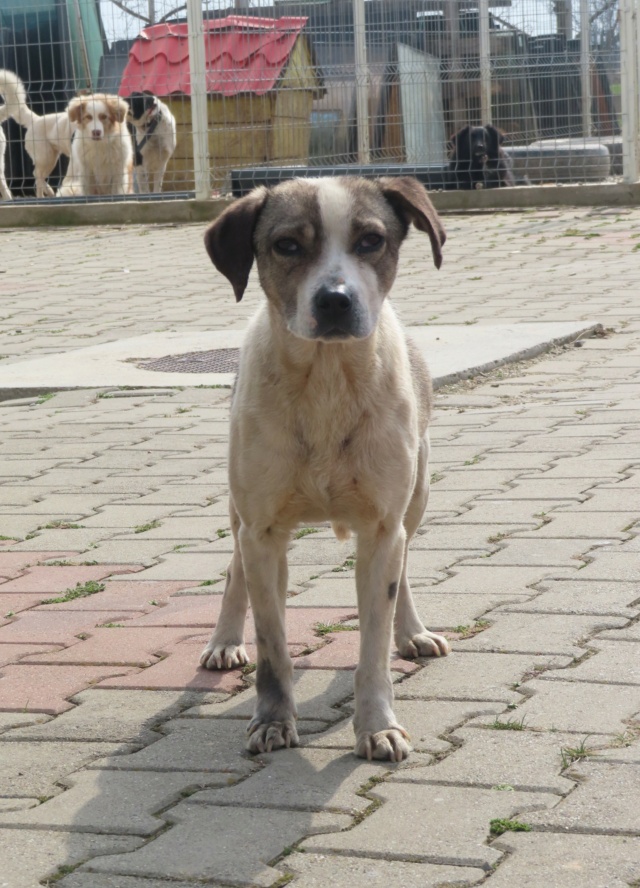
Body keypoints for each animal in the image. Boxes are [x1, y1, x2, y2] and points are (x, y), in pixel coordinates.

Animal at [0, 70, 74, 201]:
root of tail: (36, 119)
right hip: (47, 158)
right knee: (38, 176)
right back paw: (42, 197)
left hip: (50, 158)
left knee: (37, 175)